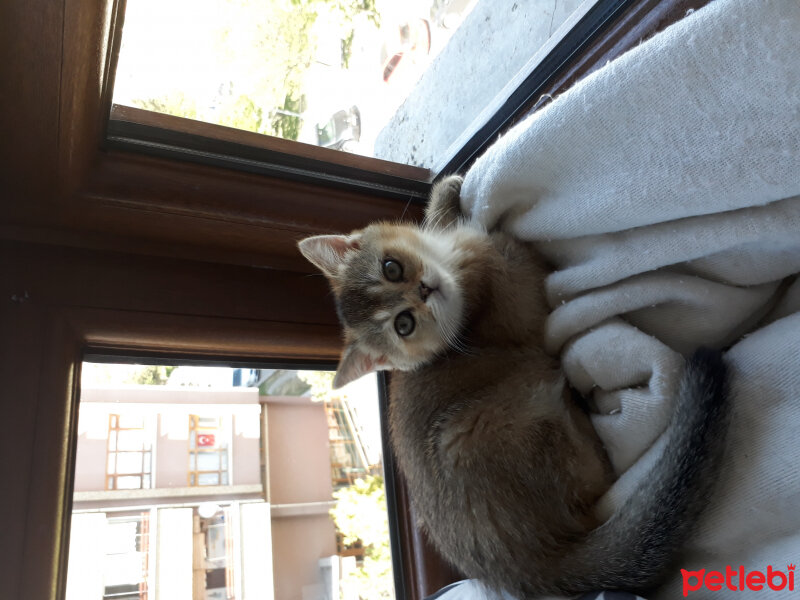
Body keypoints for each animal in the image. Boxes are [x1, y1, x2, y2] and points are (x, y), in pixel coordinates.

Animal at [296, 176, 728, 596]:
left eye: (391, 268)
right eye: (405, 324)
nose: (424, 289)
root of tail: (524, 570)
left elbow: (439, 224)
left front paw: (445, 195)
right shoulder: (515, 276)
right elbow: (516, 254)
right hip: (503, 425)